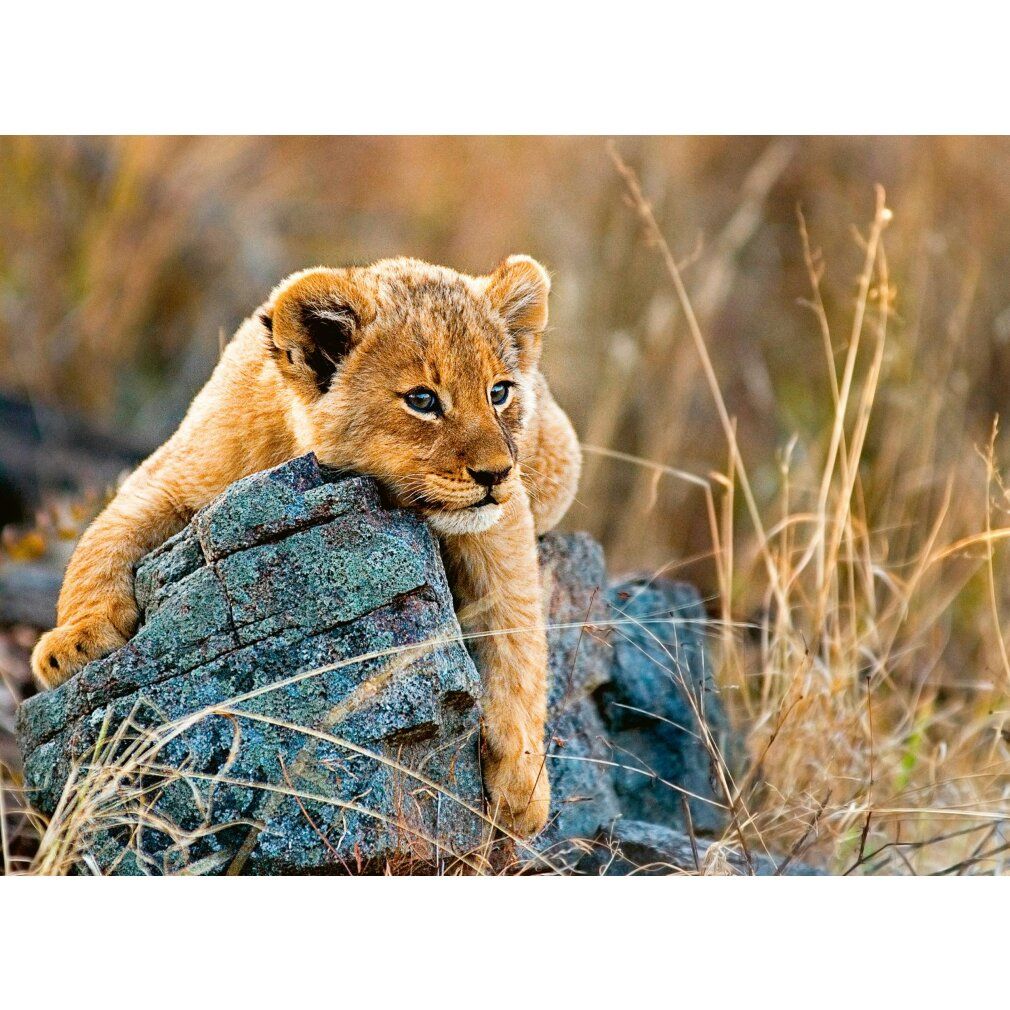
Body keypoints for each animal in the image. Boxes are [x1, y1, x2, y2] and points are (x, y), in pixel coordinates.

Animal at [30, 255, 581, 838]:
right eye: (422, 400)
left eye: (499, 392)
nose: (496, 473)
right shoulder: (171, 474)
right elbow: (102, 539)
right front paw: (72, 643)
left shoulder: (501, 522)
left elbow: (517, 634)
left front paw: (522, 785)